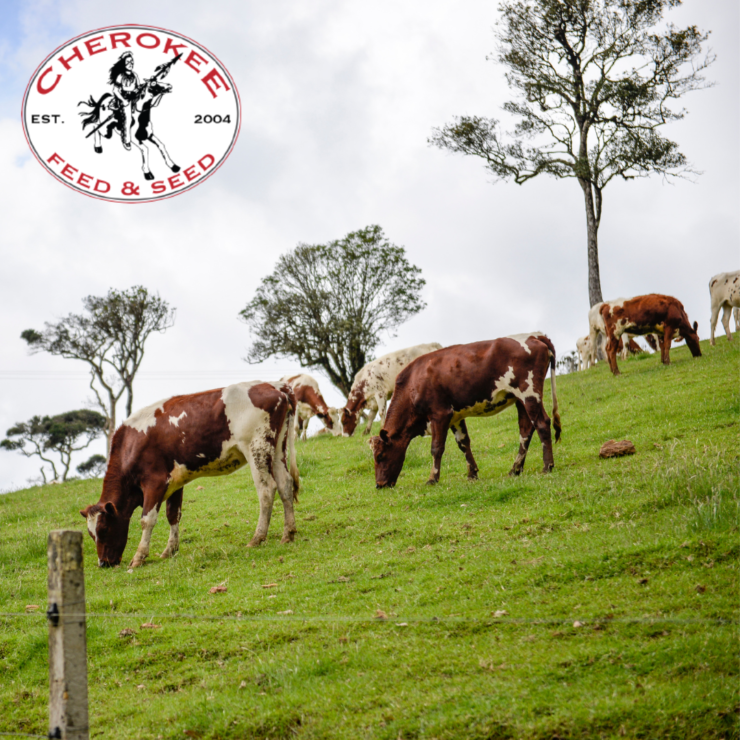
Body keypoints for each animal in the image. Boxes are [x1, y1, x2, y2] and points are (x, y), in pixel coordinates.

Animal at [79, 382, 300, 568]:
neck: (130, 445)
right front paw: (169, 550)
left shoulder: (155, 482)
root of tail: (274, 385)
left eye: (103, 529)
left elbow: (147, 520)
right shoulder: (176, 482)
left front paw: (139, 557)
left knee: (266, 490)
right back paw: (288, 533)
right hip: (277, 450)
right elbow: (173, 515)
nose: (103, 563)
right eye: (91, 535)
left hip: (257, 449)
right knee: (285, 485)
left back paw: (257, 537)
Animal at [370, 334, 560, 486]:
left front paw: (432, 478)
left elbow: (436, 448)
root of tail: (534, 337)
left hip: (530, 394)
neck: (413, 383)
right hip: (520, 400)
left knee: (542, 424)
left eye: (380, 456)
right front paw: (472, 473)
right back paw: (515, 469)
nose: (379, 485)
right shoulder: (455, 417)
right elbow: (463, 443)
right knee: (526, 430)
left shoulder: (440, 414)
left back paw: (547, 466)